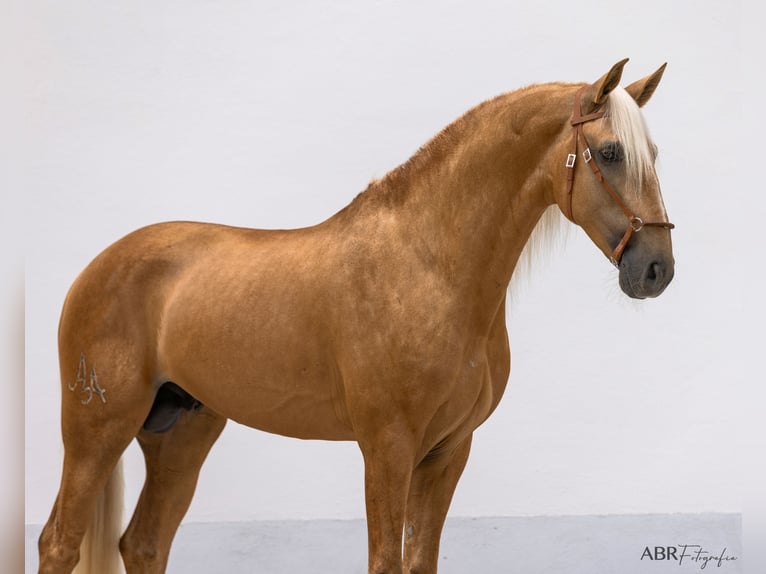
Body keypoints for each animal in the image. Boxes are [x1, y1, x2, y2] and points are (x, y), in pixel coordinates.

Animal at [37, 59, 672, 574]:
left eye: (654, 154)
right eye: (611, 153)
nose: (656, 268)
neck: (430, 267)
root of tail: (98, 266)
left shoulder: (449, 450)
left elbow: (421, 559)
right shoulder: (387, 447)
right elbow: (386, 560)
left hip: (182, 430)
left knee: (144, 544)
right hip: (97, 428)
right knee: (59, 542)